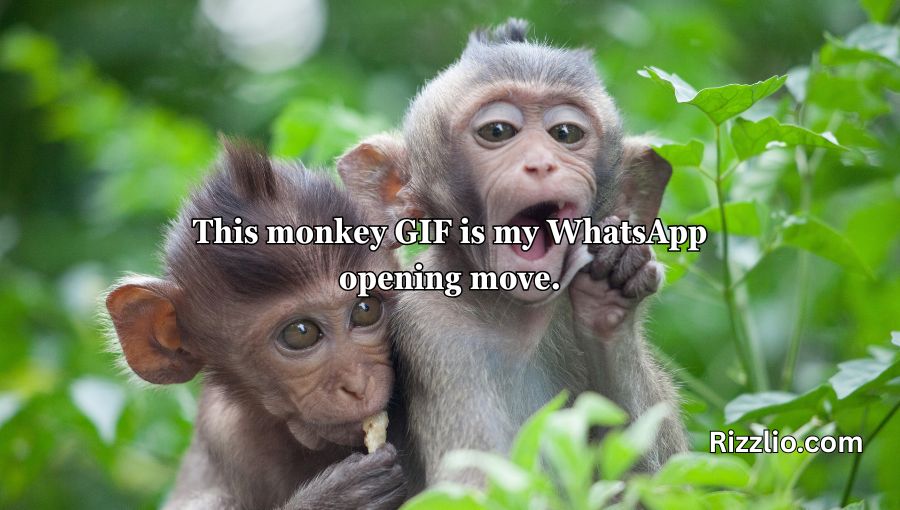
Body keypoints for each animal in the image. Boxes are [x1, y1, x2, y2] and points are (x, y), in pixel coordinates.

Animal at [337, 19, 687, 491]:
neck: (519, 319)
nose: (541, 163)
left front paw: (612, 291)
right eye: (498, 132)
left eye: (565, 134)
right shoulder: (435, 332)